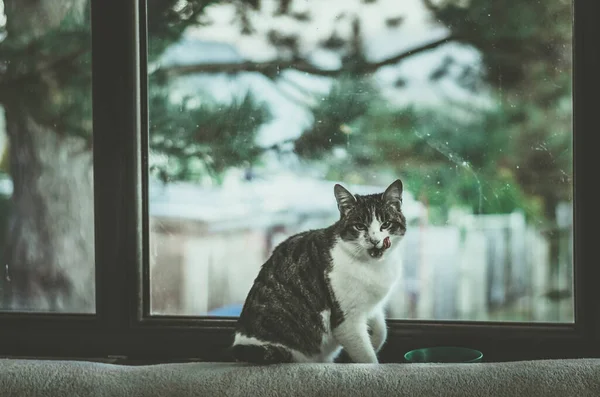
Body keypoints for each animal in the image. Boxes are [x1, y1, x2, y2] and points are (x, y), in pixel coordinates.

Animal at [232, 179, 406, 362]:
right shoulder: (347, 323)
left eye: (386, 224)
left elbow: (382, 331)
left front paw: (376, 342)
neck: (374, 265)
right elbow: (367, 357)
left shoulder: (373, 306)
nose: (374, 240)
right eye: (359, 226)